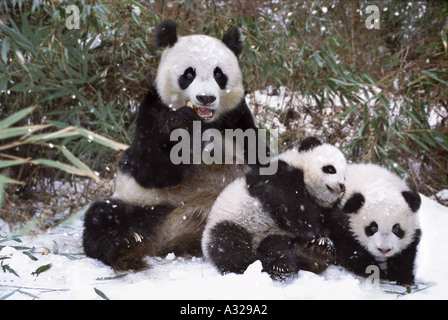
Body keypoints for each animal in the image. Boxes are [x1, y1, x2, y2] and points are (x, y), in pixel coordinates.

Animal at [82, 19, 268, 270]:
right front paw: (179, 124)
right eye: (189, 74)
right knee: (102, 216)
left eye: (219, 74)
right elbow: (151, 170)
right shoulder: (152, 109)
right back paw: (126, 248)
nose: (205, 98)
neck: (205, 121)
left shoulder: (238, 119)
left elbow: (262, 162)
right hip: (147, 206)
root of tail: (172, 236)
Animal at [202, 136, 346, 278]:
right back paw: (271, 265)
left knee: (277, 246)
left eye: (345, 177)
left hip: (274, 235)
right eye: (330, 169)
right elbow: (290, 205)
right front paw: (318, 233)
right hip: (234, 221)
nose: (342, 186)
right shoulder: (278, 176)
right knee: (229, 244)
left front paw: (322, 239)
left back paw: (310, 256)